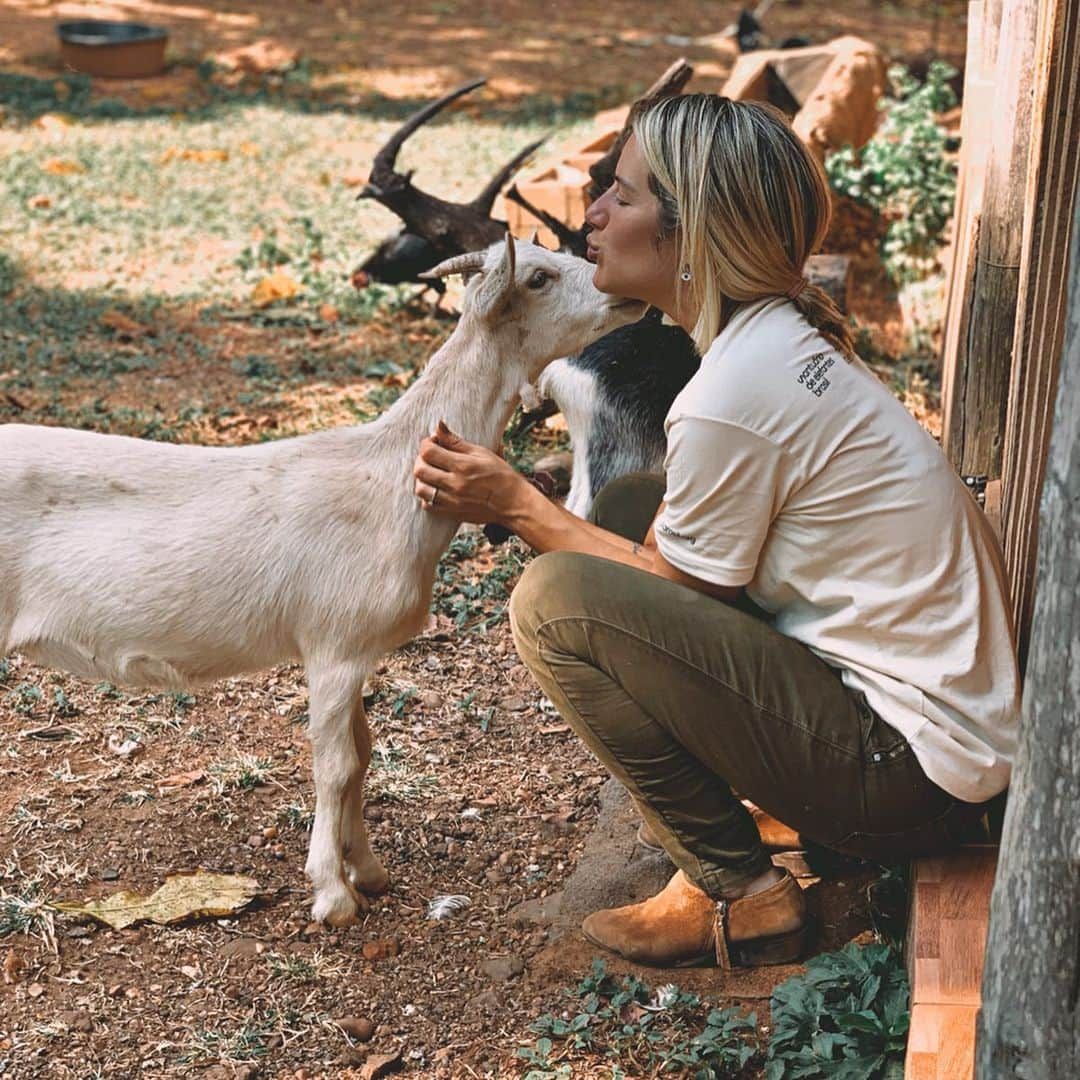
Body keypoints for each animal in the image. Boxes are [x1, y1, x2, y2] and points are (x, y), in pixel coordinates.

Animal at [0, 240, 643, 924]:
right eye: (540, 276)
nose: (622, 290)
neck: (391, 478)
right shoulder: (332, 646)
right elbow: (335, 765)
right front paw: (333, 895)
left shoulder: (355, 651)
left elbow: (362, 753)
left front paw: (369, 870)